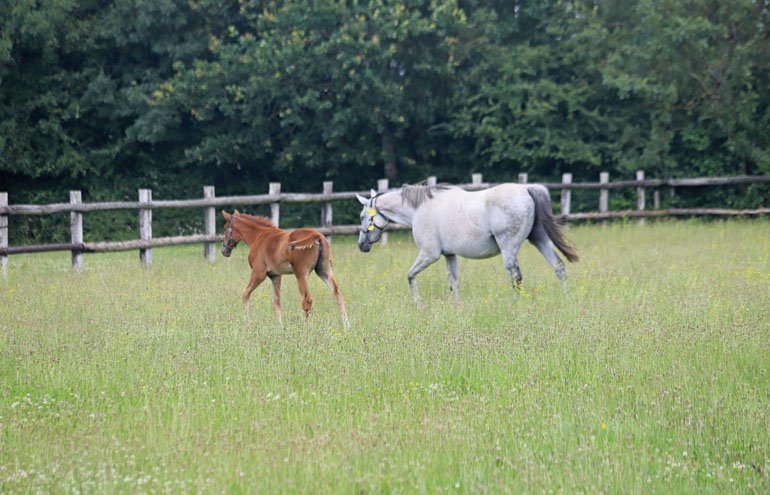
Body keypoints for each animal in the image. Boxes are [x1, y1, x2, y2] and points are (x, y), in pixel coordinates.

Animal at [221, 210, 349, 328]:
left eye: (224, 229)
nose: (224, 251)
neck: (258, 236)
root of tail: (316, 235)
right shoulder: (275, 276)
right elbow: (276, 302)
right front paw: (279, 327)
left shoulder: (259, 273)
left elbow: (245, 294)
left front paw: (247, 323)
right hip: (324, 271)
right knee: (338, 294)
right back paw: (347, 326)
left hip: (301, 273)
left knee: (307, 300)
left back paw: (306, 329)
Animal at [355, 183, 578, 303]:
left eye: (362, 216)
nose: (361, 245)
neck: (419, 209)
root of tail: (526, 188)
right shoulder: (449, 255)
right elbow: (454, 282)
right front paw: (457, 307)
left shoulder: (429, 254)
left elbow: (410, 275)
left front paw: (418, 303)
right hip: (540, 239)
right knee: (558, 266)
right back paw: (567, 298)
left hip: (509, 249)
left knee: (516, 276)